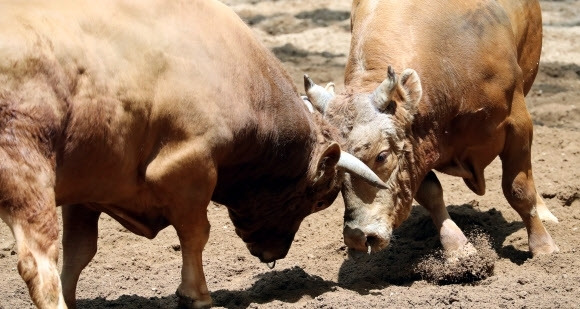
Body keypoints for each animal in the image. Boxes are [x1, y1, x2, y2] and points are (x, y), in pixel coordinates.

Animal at [0, 1, 388, 306]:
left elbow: (80, 252)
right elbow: (196, 233)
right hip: (28, 176)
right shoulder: (188, 167)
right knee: (36, 263)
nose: (274, 255)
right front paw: (196, 294)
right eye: (321, 199)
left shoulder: (89, 189)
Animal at [306, 0, 560, 260]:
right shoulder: (417, 147)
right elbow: (431, 195)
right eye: (334, 166)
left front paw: (543, 247)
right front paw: (458, 247)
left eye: (382, 156)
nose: (358, 237)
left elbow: (518, 189)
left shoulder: (518, 125)